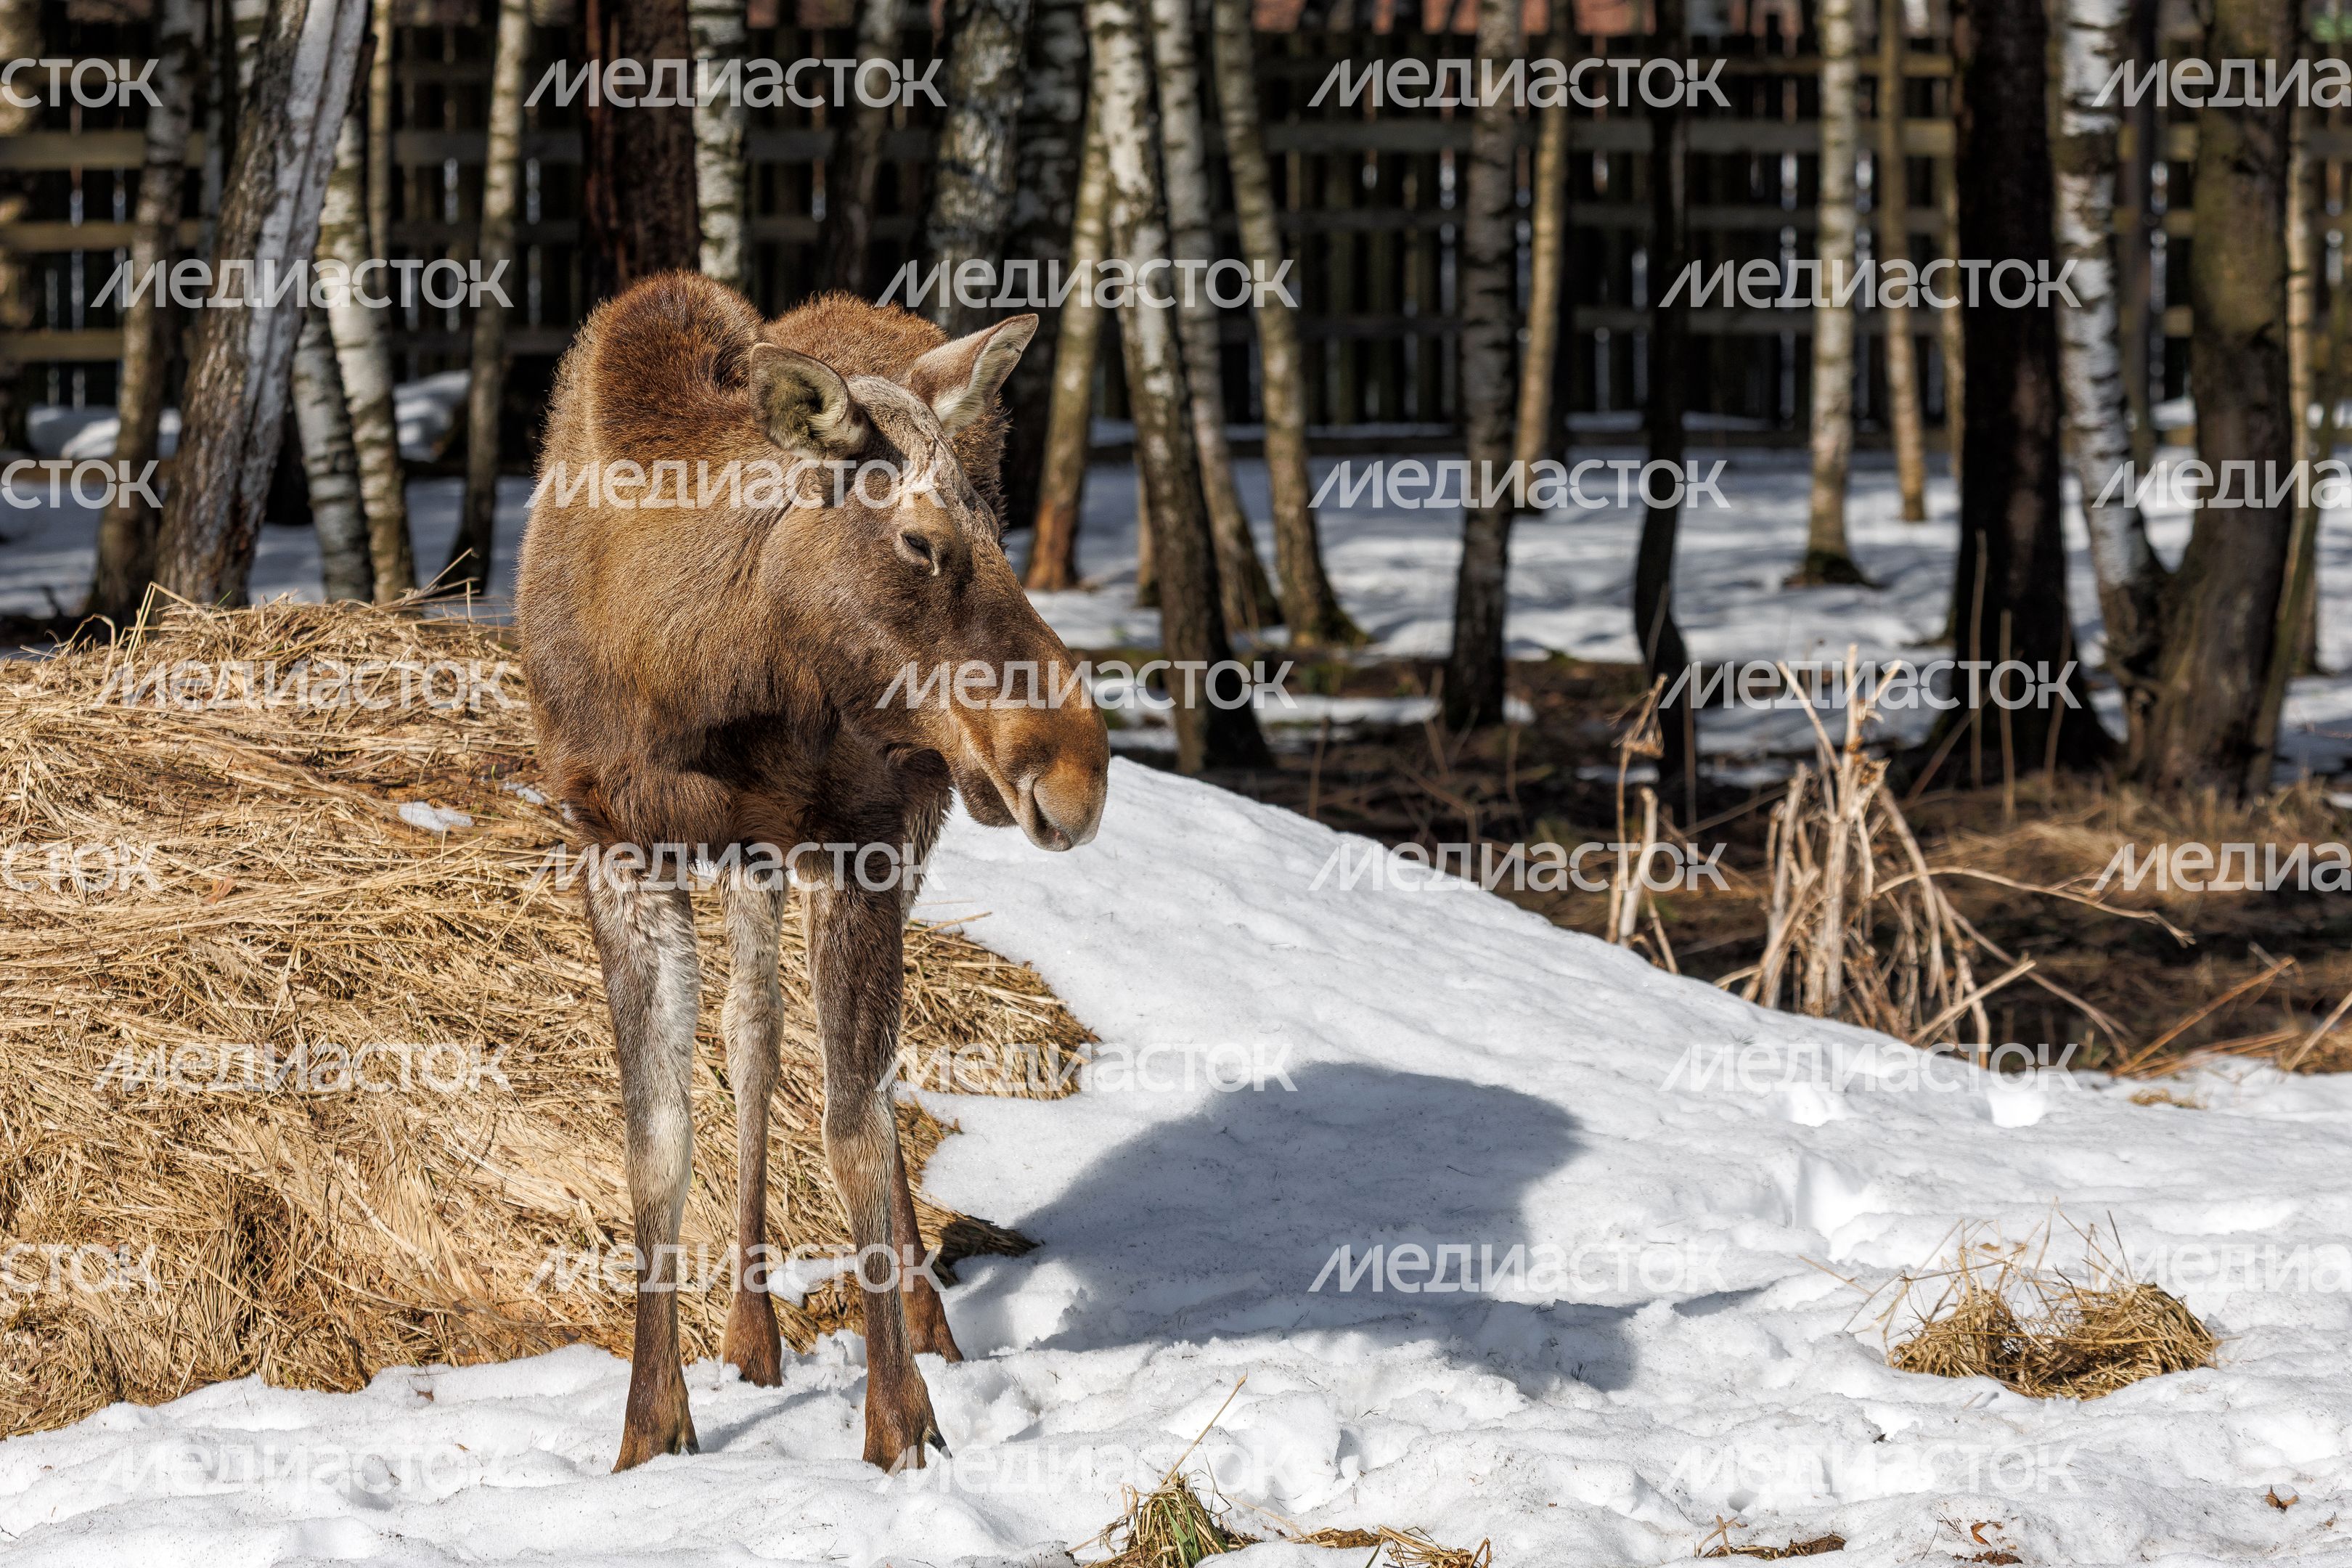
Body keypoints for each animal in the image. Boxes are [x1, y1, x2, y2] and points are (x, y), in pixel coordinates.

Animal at [515, 271, 1109, 1473]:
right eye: (920, 542)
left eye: (999, 525)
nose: (1077, 769)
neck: (697, 683)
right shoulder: (613, 841)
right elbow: (657, 1141)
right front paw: (650, 1430)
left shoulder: (863, 838)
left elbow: (854, 1126)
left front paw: (903, 1424)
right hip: (754, 858)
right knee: (753, 1036)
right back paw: (751, 1329)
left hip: (905, 820)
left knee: (857, 1075)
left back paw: (926, 1326)